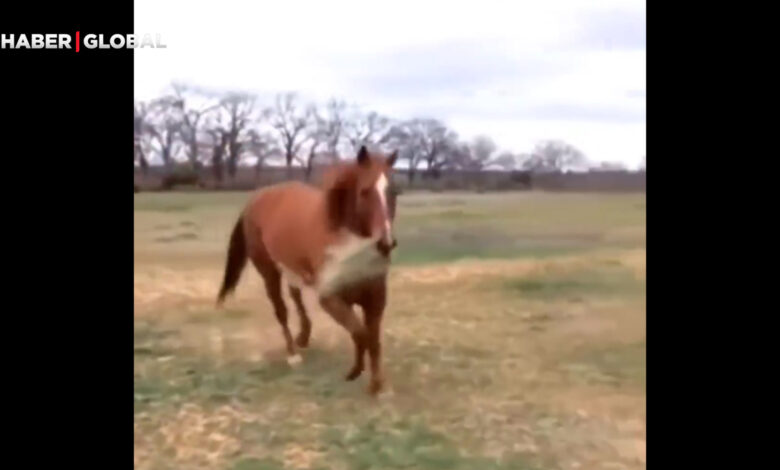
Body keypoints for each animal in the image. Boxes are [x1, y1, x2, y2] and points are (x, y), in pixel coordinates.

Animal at [216, 146, 400, 392]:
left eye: (394, 192)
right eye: (364, 191)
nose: (386, 244)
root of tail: (256, 198)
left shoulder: (376, 298)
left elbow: (373, 338)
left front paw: (376, 385)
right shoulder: (330, 299)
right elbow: (360, 334)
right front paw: (354, 372)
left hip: (293, 269)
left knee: (295, 295)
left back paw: (303, 336)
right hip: (269, 271)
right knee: (281, 310)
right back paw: (293, 354)